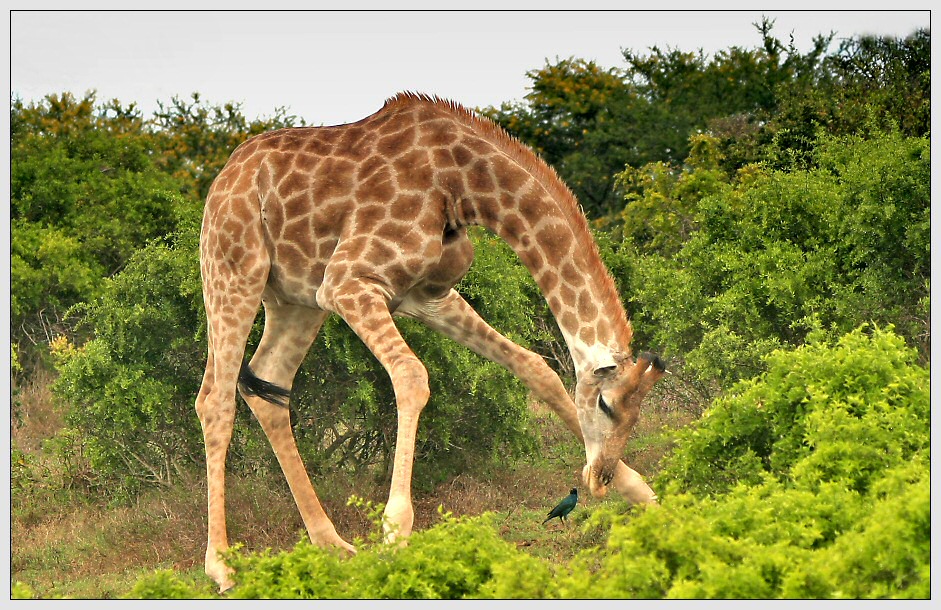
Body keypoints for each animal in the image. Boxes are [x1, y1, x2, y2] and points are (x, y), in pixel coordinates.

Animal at [196, 91, 668, 588]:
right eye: (605, 405)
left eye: (636, 416)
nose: (599, 478)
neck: (464, 183)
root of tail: (222, 178)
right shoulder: (346, 283)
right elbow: (411, 375)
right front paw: (394, 534)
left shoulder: (429, 295)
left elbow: (534, 367)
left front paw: (643, 493)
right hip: (234, 271)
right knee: (215, 400)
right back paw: (223, 566)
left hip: (296, 299)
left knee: (268, 385)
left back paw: (331, 544)